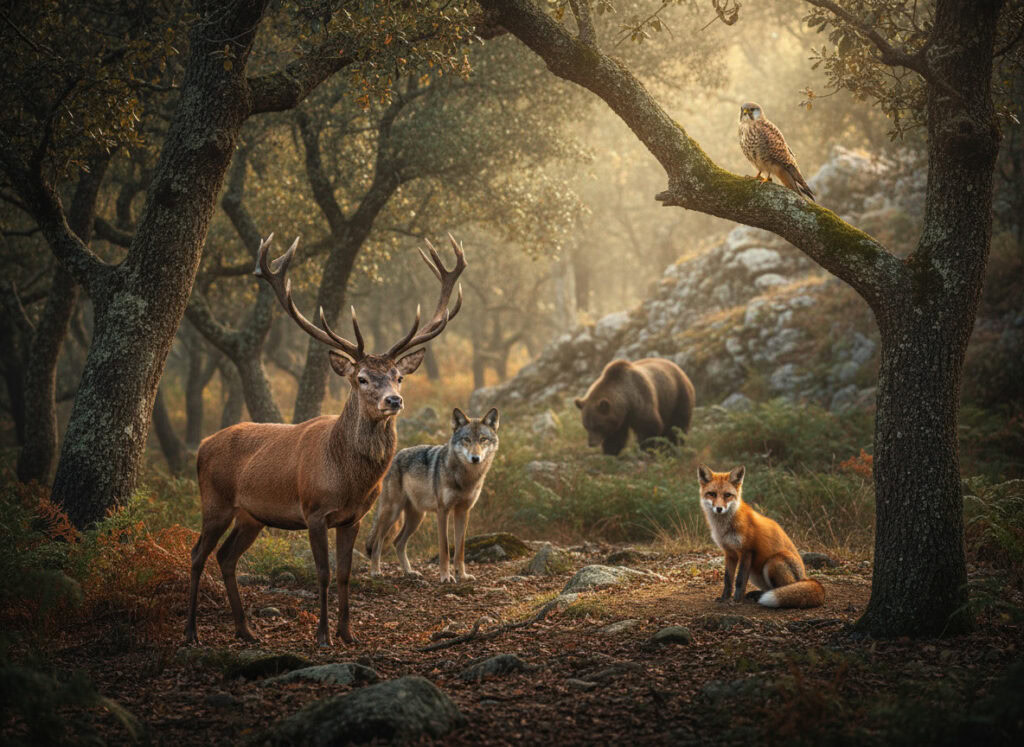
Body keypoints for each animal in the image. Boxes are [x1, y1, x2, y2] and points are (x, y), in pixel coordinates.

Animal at [184, 233, 465, 647]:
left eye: (398, 376)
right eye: (361, 378)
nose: (393, 400)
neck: (347, 480)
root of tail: (202, 445)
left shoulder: (353, 517)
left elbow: (347, 573)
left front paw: (349, 634)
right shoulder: (313, 510)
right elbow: (323, 573)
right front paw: (322, 636)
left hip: (251, 515)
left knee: (226, 557)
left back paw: (246, 631)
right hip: (215, 500)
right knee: (197, 554)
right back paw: (191, 632)